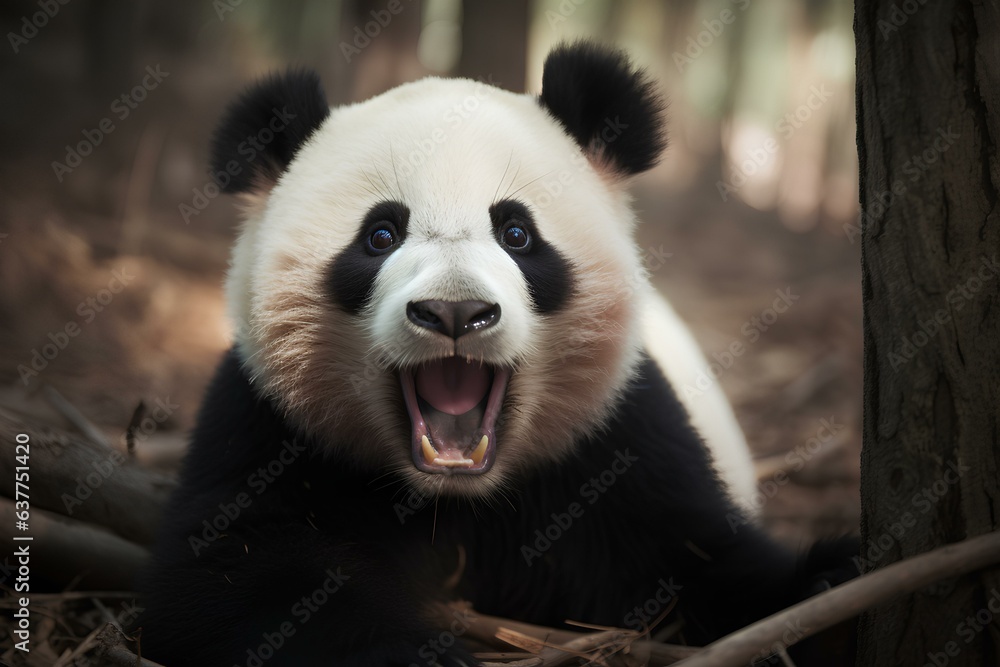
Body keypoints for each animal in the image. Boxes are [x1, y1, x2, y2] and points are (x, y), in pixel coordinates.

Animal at [138, 42, 853, 666]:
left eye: (516, 232)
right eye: (380, 234)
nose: (454, 311)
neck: (456, 500)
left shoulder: (616, 439)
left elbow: (707, 563)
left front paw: (834, 589)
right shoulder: (266, 424)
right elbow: (231, 575)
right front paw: (418, 655)